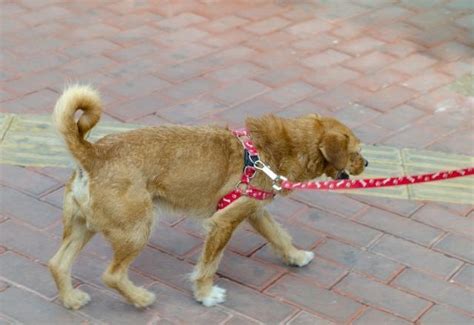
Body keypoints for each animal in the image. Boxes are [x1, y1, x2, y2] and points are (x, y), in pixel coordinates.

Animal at [47, 84, 366, 308]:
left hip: (83, 227)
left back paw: (71, 300)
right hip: (136, 230)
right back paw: (140, 299)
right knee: (112, 275)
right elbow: (209, 265)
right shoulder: (222, 223)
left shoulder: (255, 212)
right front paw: (205, 294)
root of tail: (93, 154)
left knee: (58, 264)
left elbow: (279, 236)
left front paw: (296, 256)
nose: (366, 163)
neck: (274, 149)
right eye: (356, 152)